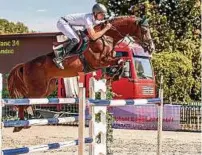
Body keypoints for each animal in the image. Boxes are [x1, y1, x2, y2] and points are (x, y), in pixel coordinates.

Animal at [6, 15, 155, 131]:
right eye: (145, 30)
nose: (152, 47)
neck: (106, 37)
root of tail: (25, 64)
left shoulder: (106, 60)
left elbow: (119, 62)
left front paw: (113, 75)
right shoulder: (98, 62)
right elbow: (120, 61)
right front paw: (115, 74)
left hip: (48, 88)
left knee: (26, 101)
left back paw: (23, 122)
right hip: (38, 89)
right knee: (23, 100)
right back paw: (20, 124)